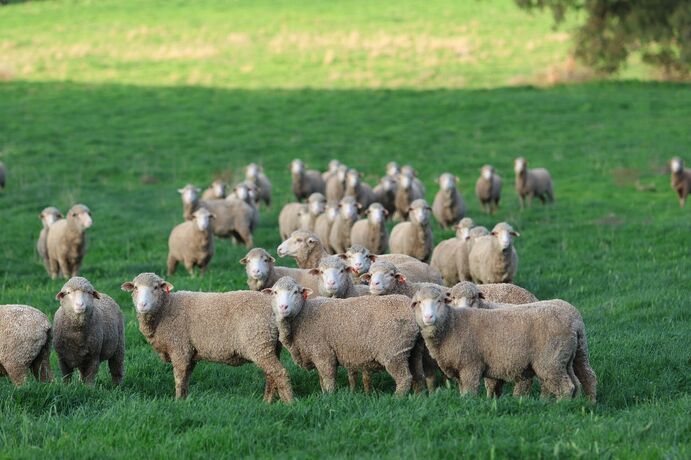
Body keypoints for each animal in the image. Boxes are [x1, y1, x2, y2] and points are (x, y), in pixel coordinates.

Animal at [121, 272, 293, 402]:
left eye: (156, 287)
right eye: (135, 288)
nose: (142, 305)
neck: (165, 309)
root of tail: (272, 307)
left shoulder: (179, 348)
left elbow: (179, 378)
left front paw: (177, 401)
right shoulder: (189, 352)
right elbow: (186, 378)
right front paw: (184, 400)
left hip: (259, 342)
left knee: (279, 373)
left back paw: (289, 403)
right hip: (270, 345)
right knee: (271, 375)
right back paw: (267, 402)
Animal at [262, 276, 424, 396]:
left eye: (296, 292)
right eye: (274, 293)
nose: (283, 307)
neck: (302, 316)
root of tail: (410, 306)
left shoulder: (323, 353)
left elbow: (328, 379)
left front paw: (329, 398)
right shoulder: (316, 355)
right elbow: (321, 380)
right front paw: (324, 395)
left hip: (394, 351)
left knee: (404, 378)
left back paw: (397, 398)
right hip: (413, 349)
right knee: (417, 375)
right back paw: (417, 397)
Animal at [411, 285, 597, 401]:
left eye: (440, 301)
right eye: (418, 303)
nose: (428, 317)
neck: (452, 324)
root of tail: (574, 322)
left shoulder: (471, 365)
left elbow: (470, 392)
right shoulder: (461, 369)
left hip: (550, 360)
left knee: (566, 387)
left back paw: (560, 408)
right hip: (569, 357)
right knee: (580, 380)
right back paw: (580, 404)